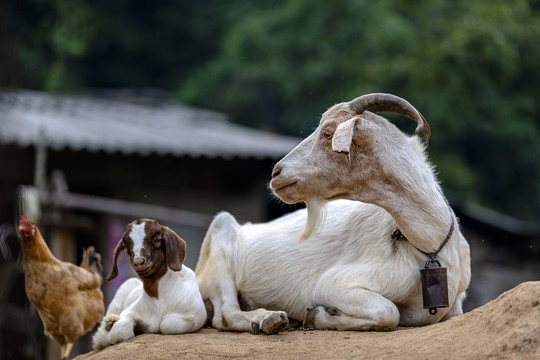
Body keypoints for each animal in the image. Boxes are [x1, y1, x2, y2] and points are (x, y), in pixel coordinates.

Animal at [93, 218, 207, 350]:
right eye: (126, 246)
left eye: (157, 240)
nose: (139, 262)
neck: (158, 299)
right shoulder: (130, 311)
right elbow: (118, 331)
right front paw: (111, 329)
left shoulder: (196, 317)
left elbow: (165, 325)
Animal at [196, 93, 470, 334]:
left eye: (328, 133)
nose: (277, 173)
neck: (429, 245)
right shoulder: (333, 284)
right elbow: (389, 312)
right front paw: (317, 315)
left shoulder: (457, 301)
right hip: (220, 239)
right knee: (226, 314)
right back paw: (269, 319)